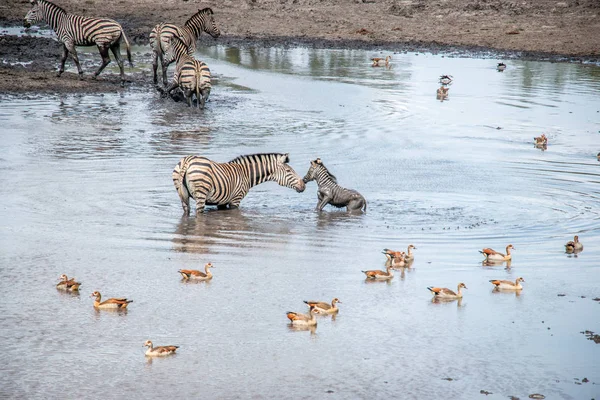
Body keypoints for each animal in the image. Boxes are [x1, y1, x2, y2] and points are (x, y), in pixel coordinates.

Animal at [172, 154, 304, 216]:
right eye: (289, 171)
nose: (303, 185)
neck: (246, 174)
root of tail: (187, 160)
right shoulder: (235, 199)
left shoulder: (222, 202)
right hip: (201, 193)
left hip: (182, 194)